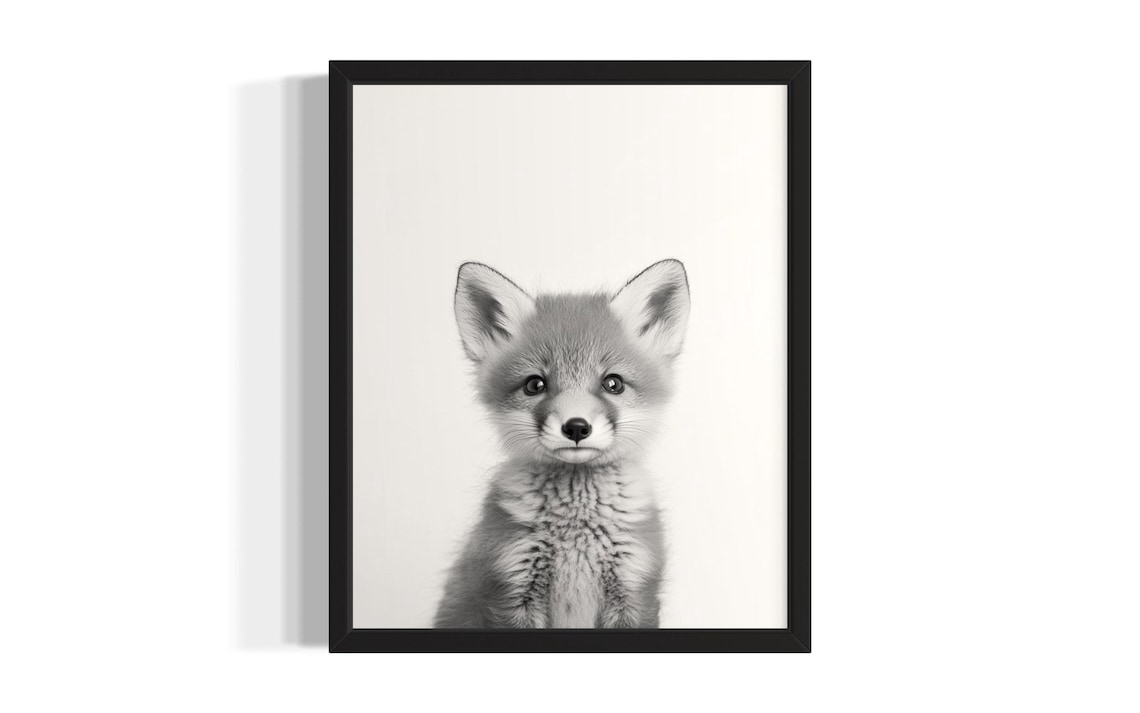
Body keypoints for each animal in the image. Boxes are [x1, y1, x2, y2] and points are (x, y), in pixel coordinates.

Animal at [434, 259, 691, 628]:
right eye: (534, 385)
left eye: (613, 383)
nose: (577, 427)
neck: (576, 528)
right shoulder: (510, 587)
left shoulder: (634, 590)